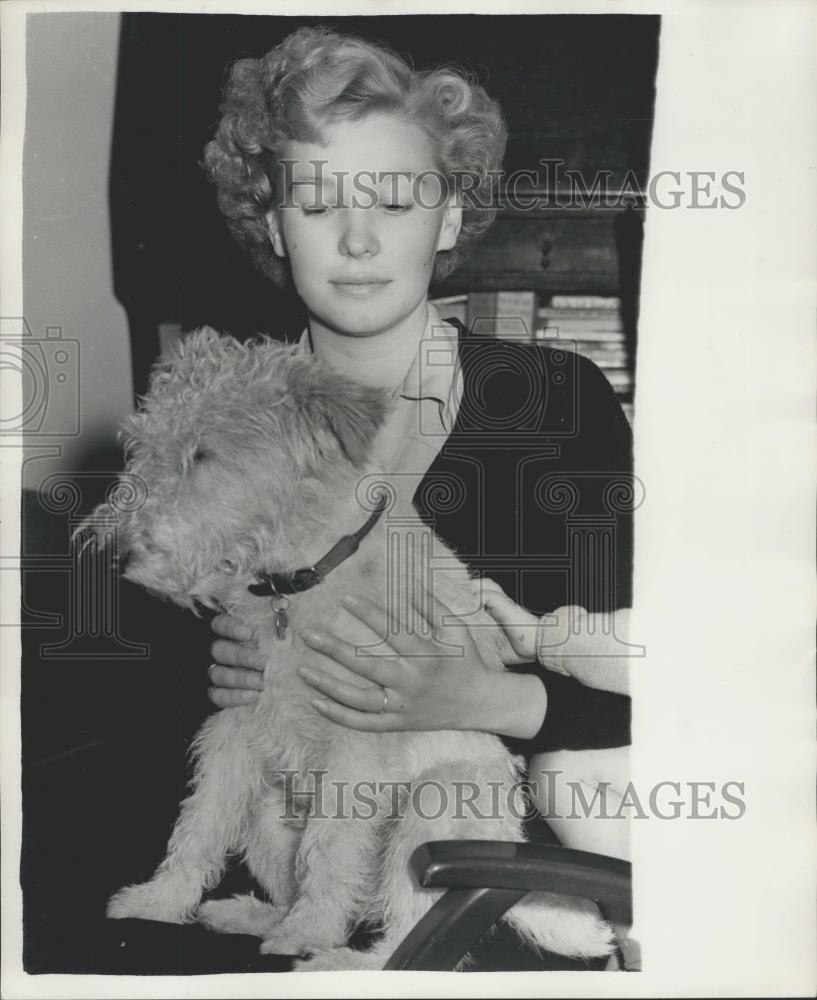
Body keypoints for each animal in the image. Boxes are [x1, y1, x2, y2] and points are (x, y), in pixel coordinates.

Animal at [87, 328, 612, 968]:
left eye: (205, 454)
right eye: (143, 446)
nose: (119, 556)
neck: (295, 581)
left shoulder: (357, 741)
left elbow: (331, 845)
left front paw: (307, 934)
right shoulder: (234, 726)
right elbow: (200, 823)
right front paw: (160, 901)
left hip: (433, 808)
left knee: (398, 929)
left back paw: (331, 955)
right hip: (269, 807)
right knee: (304, 887)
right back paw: (251, 916)